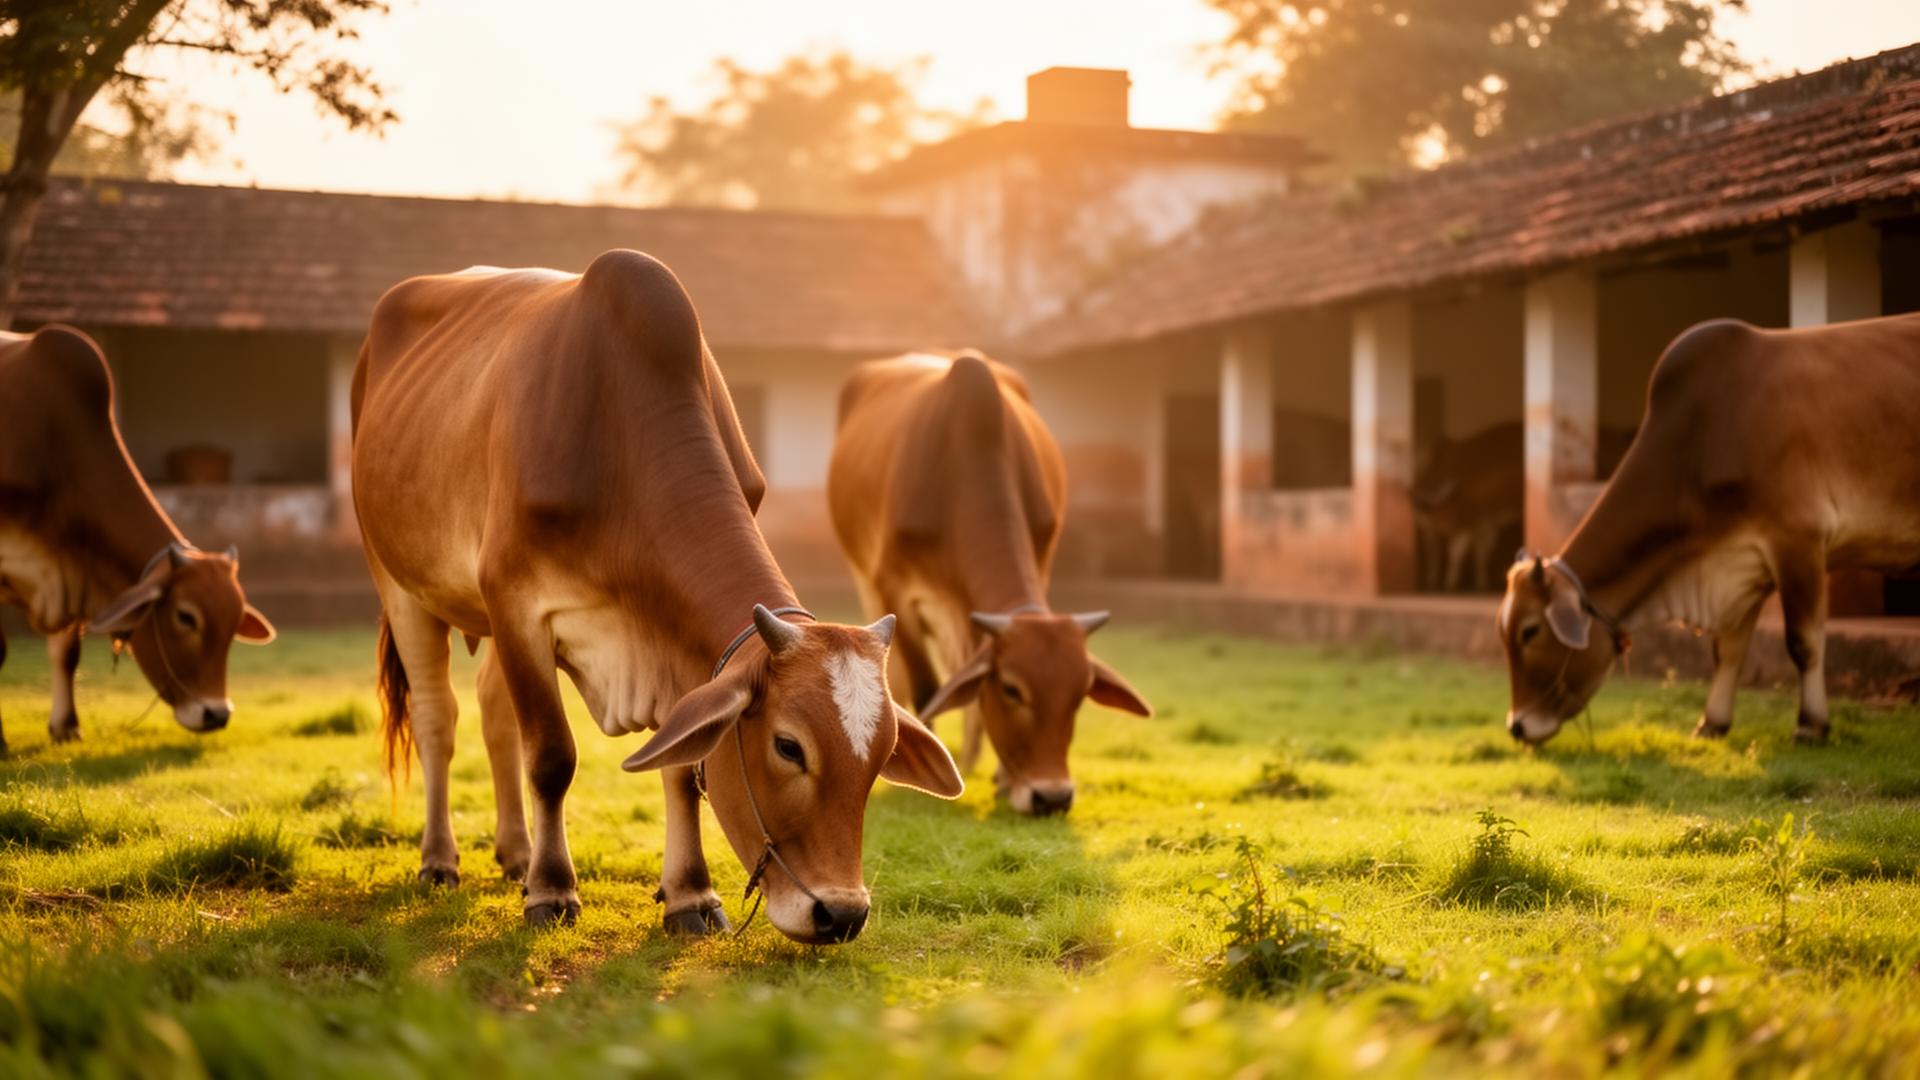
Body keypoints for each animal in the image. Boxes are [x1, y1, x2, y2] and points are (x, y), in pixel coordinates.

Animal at [0, 326, 275, 752]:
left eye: (233, 625)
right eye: (185, 617)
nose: (216, 714)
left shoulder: (75, 563)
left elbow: (67, 651)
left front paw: (66, 726)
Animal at [351, 252, 963, 943]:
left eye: (883, 752)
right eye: (788, 746)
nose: (842, 914)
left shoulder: (676, 643)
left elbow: (678, 767)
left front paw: (689, 894)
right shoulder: (518, 607)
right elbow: (552, 757)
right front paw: (552, 890)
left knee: (493, 715)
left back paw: (515, 854)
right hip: (401, 584)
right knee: (438, 719)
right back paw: (440, 859)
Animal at [827, 352, 1150, 817]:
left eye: (1081, 693)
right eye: (1012, 689)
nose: (1052, 797)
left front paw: (1000, 776)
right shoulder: (895, 591)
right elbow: (928, 688)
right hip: (865, 578)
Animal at [1500, 315, 1920, 746]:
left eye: (1530, 631)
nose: (1517, 725)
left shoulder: (1797, 541)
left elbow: (1804, 642)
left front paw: (1810, 723)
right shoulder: (1743, 560)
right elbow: (1727, 650)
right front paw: (1712, 721)